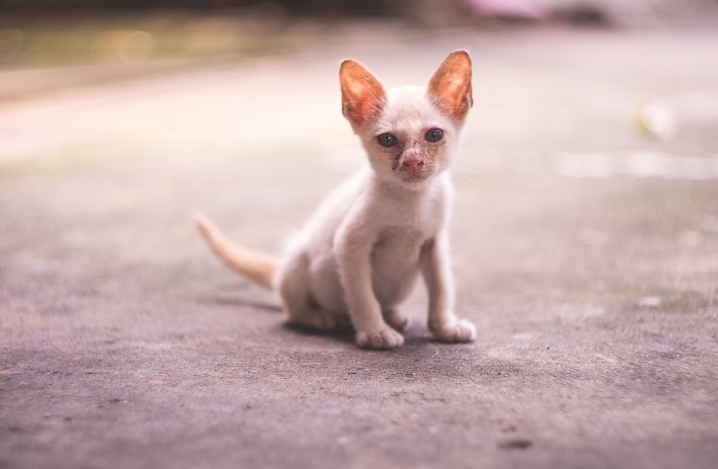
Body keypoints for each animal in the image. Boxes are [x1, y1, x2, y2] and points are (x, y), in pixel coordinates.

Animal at [197, 51, 478, 348]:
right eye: (387, 139)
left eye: (434, 135)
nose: (413, 162)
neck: (412, 200)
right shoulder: (349, 245)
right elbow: (362, 297)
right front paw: (374, 331)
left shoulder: (435, 245)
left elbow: (441, 289)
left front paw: (445, 326)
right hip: (299, 256)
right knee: (291, 311)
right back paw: (321, 317)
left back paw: (393, 315)